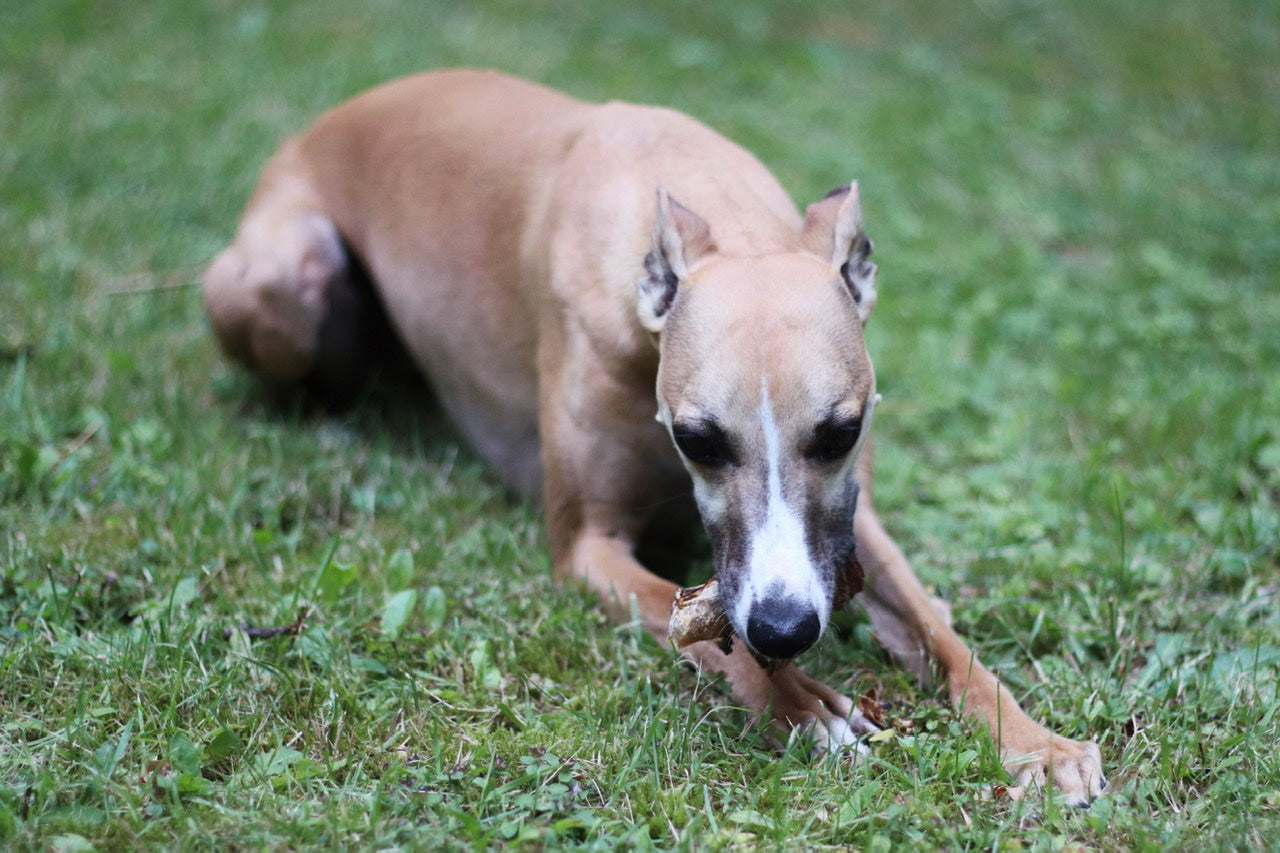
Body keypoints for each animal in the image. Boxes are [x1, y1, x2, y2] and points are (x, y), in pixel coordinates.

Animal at [204, 69, 1105, 799]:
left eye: (842, 430)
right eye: (700, 440)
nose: (786, 628)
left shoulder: (852, 526)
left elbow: (944, 637)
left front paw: (1040, 743)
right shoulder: (587, 546)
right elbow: (707, 636)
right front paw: (802, 705)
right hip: (286, 275)